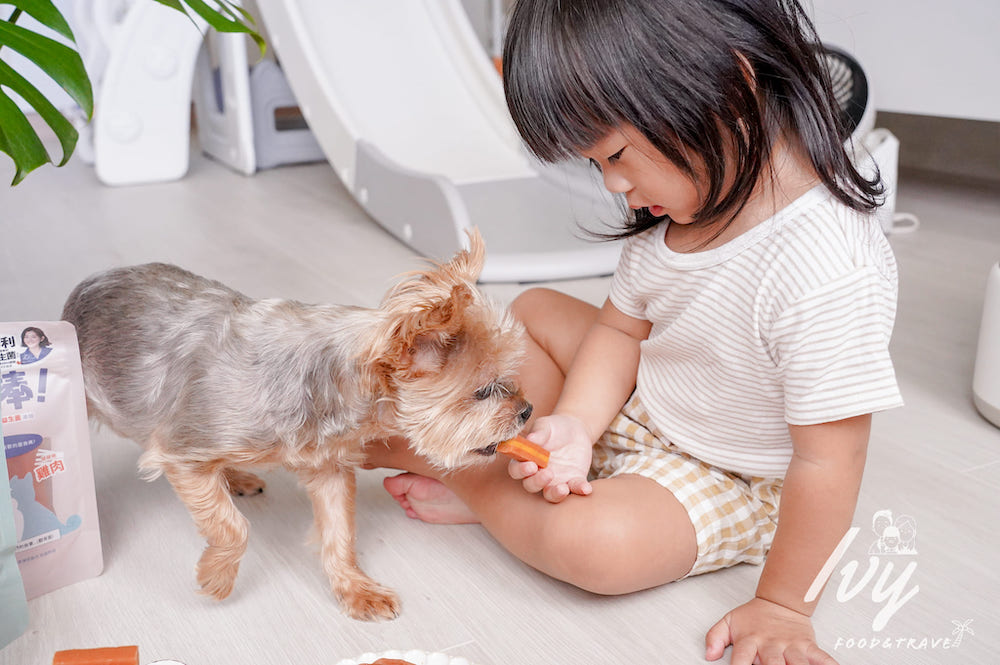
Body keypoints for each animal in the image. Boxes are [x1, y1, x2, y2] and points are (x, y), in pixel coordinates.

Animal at [61, 231, 532, 620]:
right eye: (484, 392)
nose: (527, 410)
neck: (329, 380)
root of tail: (88, 283)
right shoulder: (183, 450)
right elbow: (231, 526)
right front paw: (217, 577)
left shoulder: (329, 466)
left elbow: (340, 532)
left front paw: (356, 590)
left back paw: (235, 477)